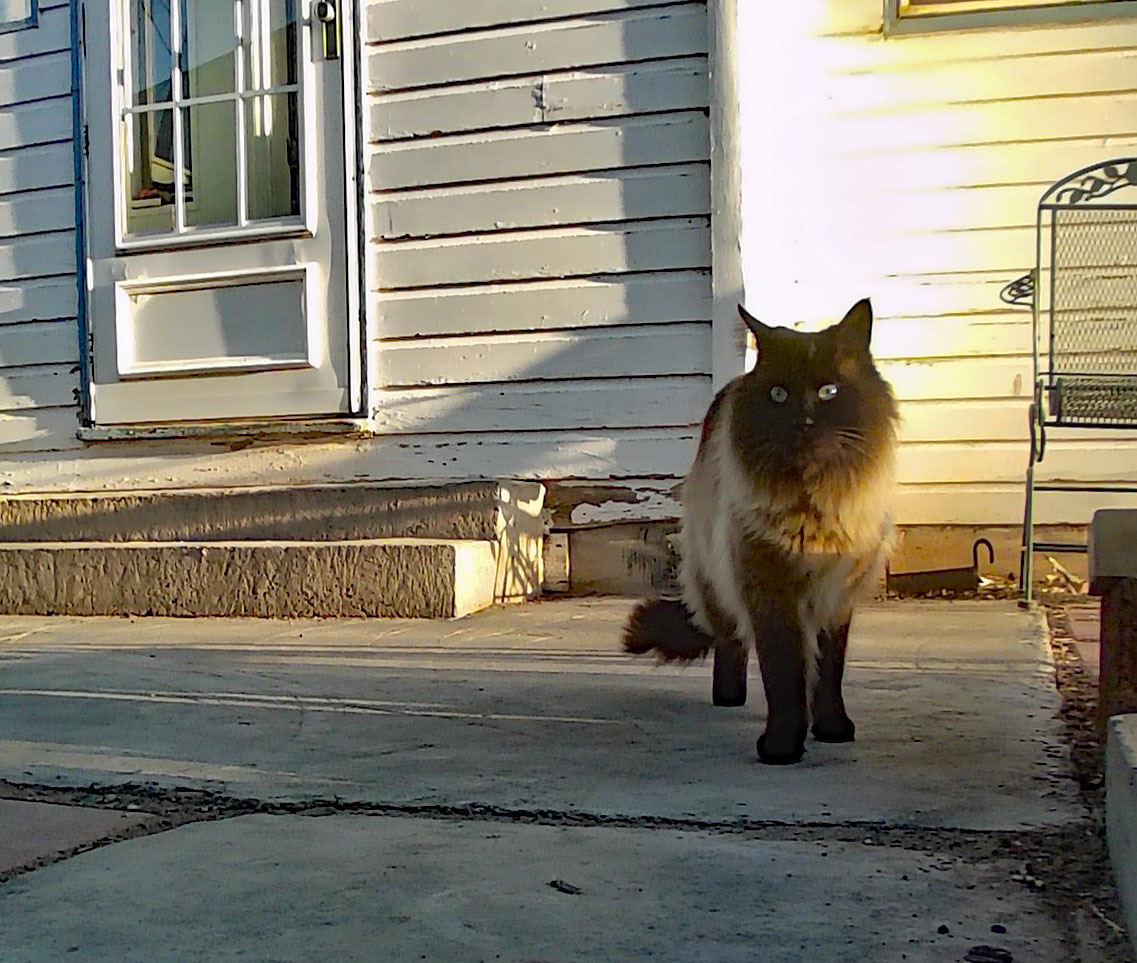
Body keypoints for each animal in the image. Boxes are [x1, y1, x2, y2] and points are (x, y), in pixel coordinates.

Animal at [623, 298, 899, 765]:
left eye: (829, 392)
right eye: (779, 395)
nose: (803, 422)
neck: (811, 509)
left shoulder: (835, 598)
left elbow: (828, 673)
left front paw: (830, 729)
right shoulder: (769, 591)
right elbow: (784, 673)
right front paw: (783, 746)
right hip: (715, 575)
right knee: (730, 640)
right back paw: (729, 697)